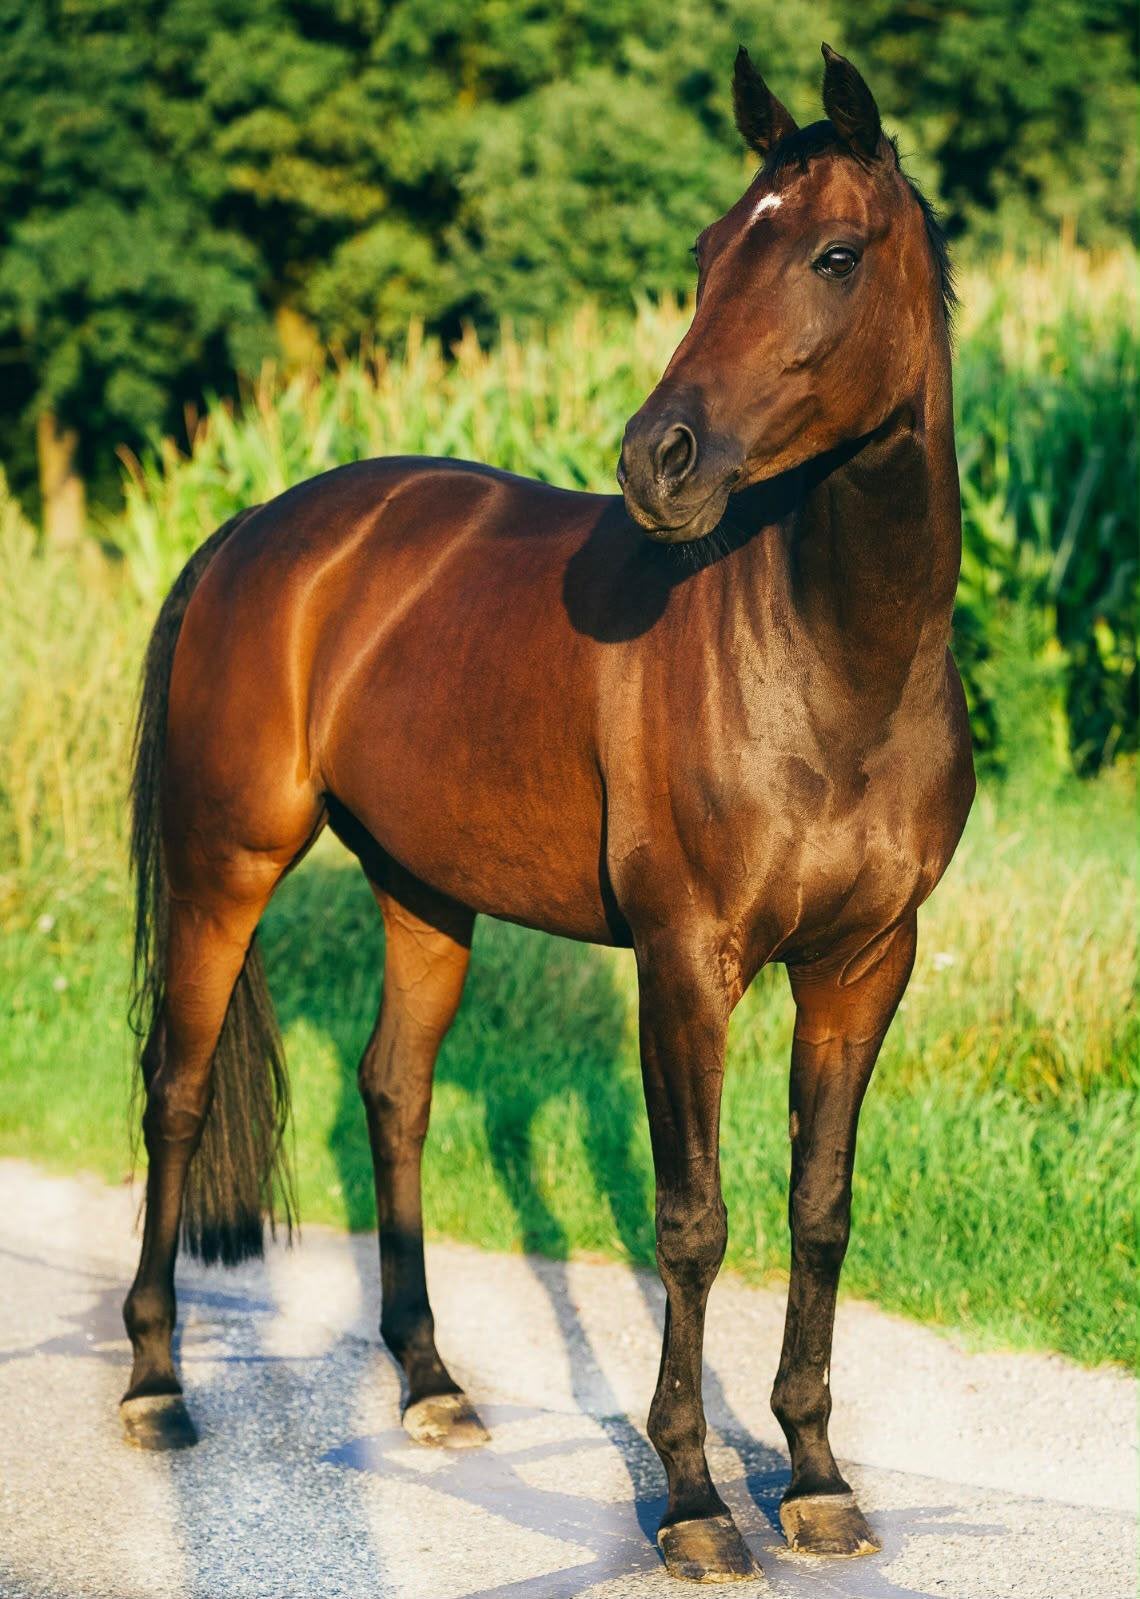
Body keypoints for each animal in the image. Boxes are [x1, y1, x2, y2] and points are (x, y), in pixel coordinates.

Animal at [120, 43, 975, 1584]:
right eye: (708, 250)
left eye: (832, 254)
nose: (659, 463)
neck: (836, 664)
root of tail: (253, 532)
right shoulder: (687, 962)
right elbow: (692, 1223)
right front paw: (693, 1500)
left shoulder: (865, 964)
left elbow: (820, 1209)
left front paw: (817, 1476)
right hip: (228, 862)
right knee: (175, 1087)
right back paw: (157, 1383)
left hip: (423, 888)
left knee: (393, 1090)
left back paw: (430, 1381)